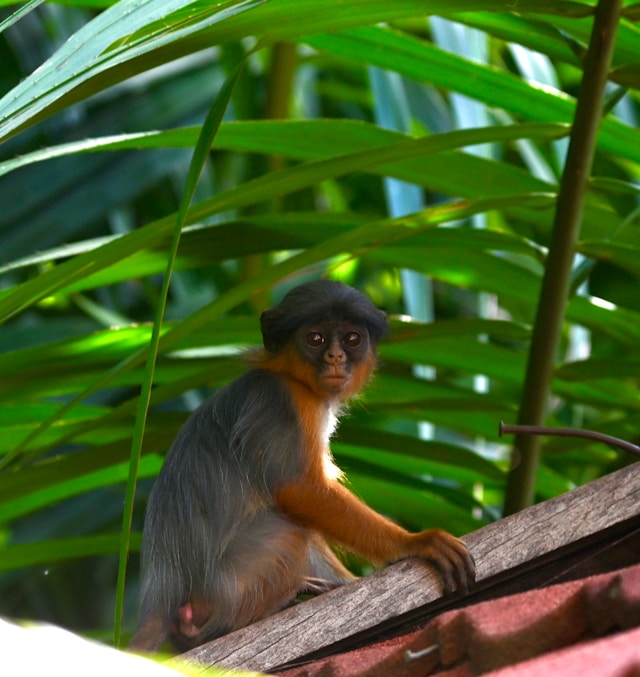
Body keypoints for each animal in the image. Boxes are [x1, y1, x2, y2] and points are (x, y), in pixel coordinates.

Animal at [129, 278, 476, 648]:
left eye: (352, 339)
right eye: (316, 339)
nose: (336, 357)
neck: (292, 377)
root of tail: (161, 594)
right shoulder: (280, 404)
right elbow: (298, 489)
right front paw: (414, 544)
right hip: (226, 589)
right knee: (290, 530)